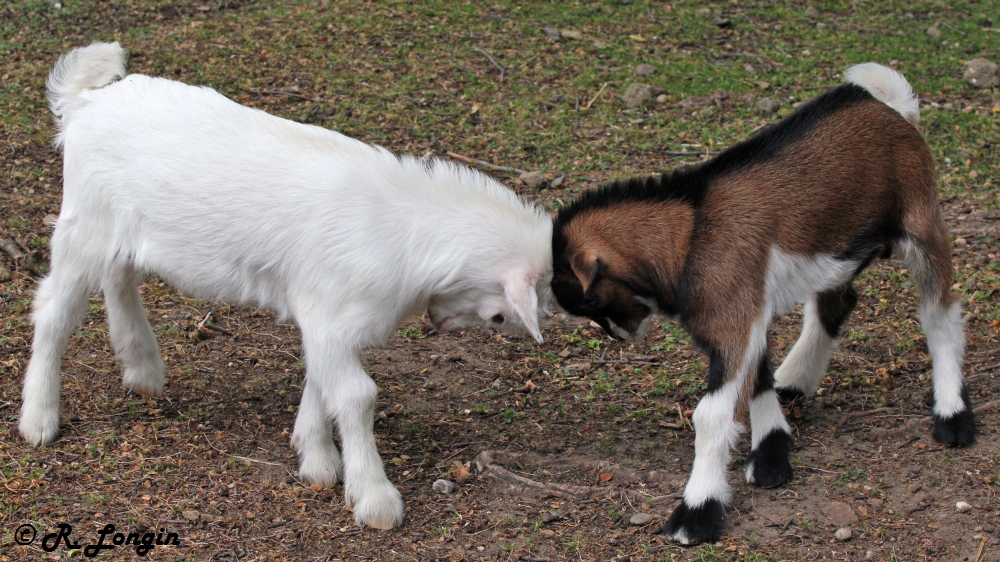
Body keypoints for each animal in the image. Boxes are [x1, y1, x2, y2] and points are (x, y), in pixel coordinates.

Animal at [21, 41, 556, 528]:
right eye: (502, 316)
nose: (439, 324)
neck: (400, 228)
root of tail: (85, 101)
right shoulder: (331, 312)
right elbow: (357, 395)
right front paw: (374, 497)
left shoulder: (324, 317)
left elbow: (320, 378)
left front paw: (315, 457)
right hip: (84, 222)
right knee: (54, 310)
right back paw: (39, 419)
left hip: (122, 231)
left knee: (118, 276)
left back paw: (142, 367)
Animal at [552, 64, 972, 544]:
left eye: (589, 297)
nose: (619, 334)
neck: (690, 235)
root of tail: (885, 102)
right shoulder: (745, 311)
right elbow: (757, 373)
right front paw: (772, 452)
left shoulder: (734, 317)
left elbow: (712, 414)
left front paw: (698, 511)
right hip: (839, 248)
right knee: (837, 301)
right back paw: (798, 377)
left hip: (921, 220)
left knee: (939, 314)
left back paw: (952, 413)